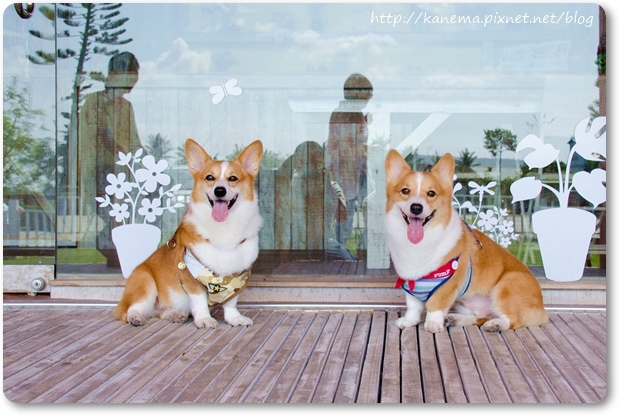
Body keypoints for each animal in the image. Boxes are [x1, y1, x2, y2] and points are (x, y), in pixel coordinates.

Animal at [113, 139, 264, 328]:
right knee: (130, 310)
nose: (219, 191)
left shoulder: (237, 275)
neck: (224, 228)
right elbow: (200, 301)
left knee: (158, 313)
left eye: (232, 178)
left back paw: (174, 314)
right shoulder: (190, 276)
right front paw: (204, 319)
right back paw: (136, 317)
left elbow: (231, 302)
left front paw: (234, 318)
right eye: (210, 177)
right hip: (144, 281)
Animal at [384, 150, 548, 333]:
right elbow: (413, 306)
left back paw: (496, 324)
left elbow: (435, 305)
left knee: (513, 320)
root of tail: (541, 308)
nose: (416, 208)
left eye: (431, 193)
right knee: (480, 317)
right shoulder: (410, 281)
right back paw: (456, 319)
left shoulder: (448, 286)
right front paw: (408, 321)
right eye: (405, 191)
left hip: (506, 284)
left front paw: (433, 324)